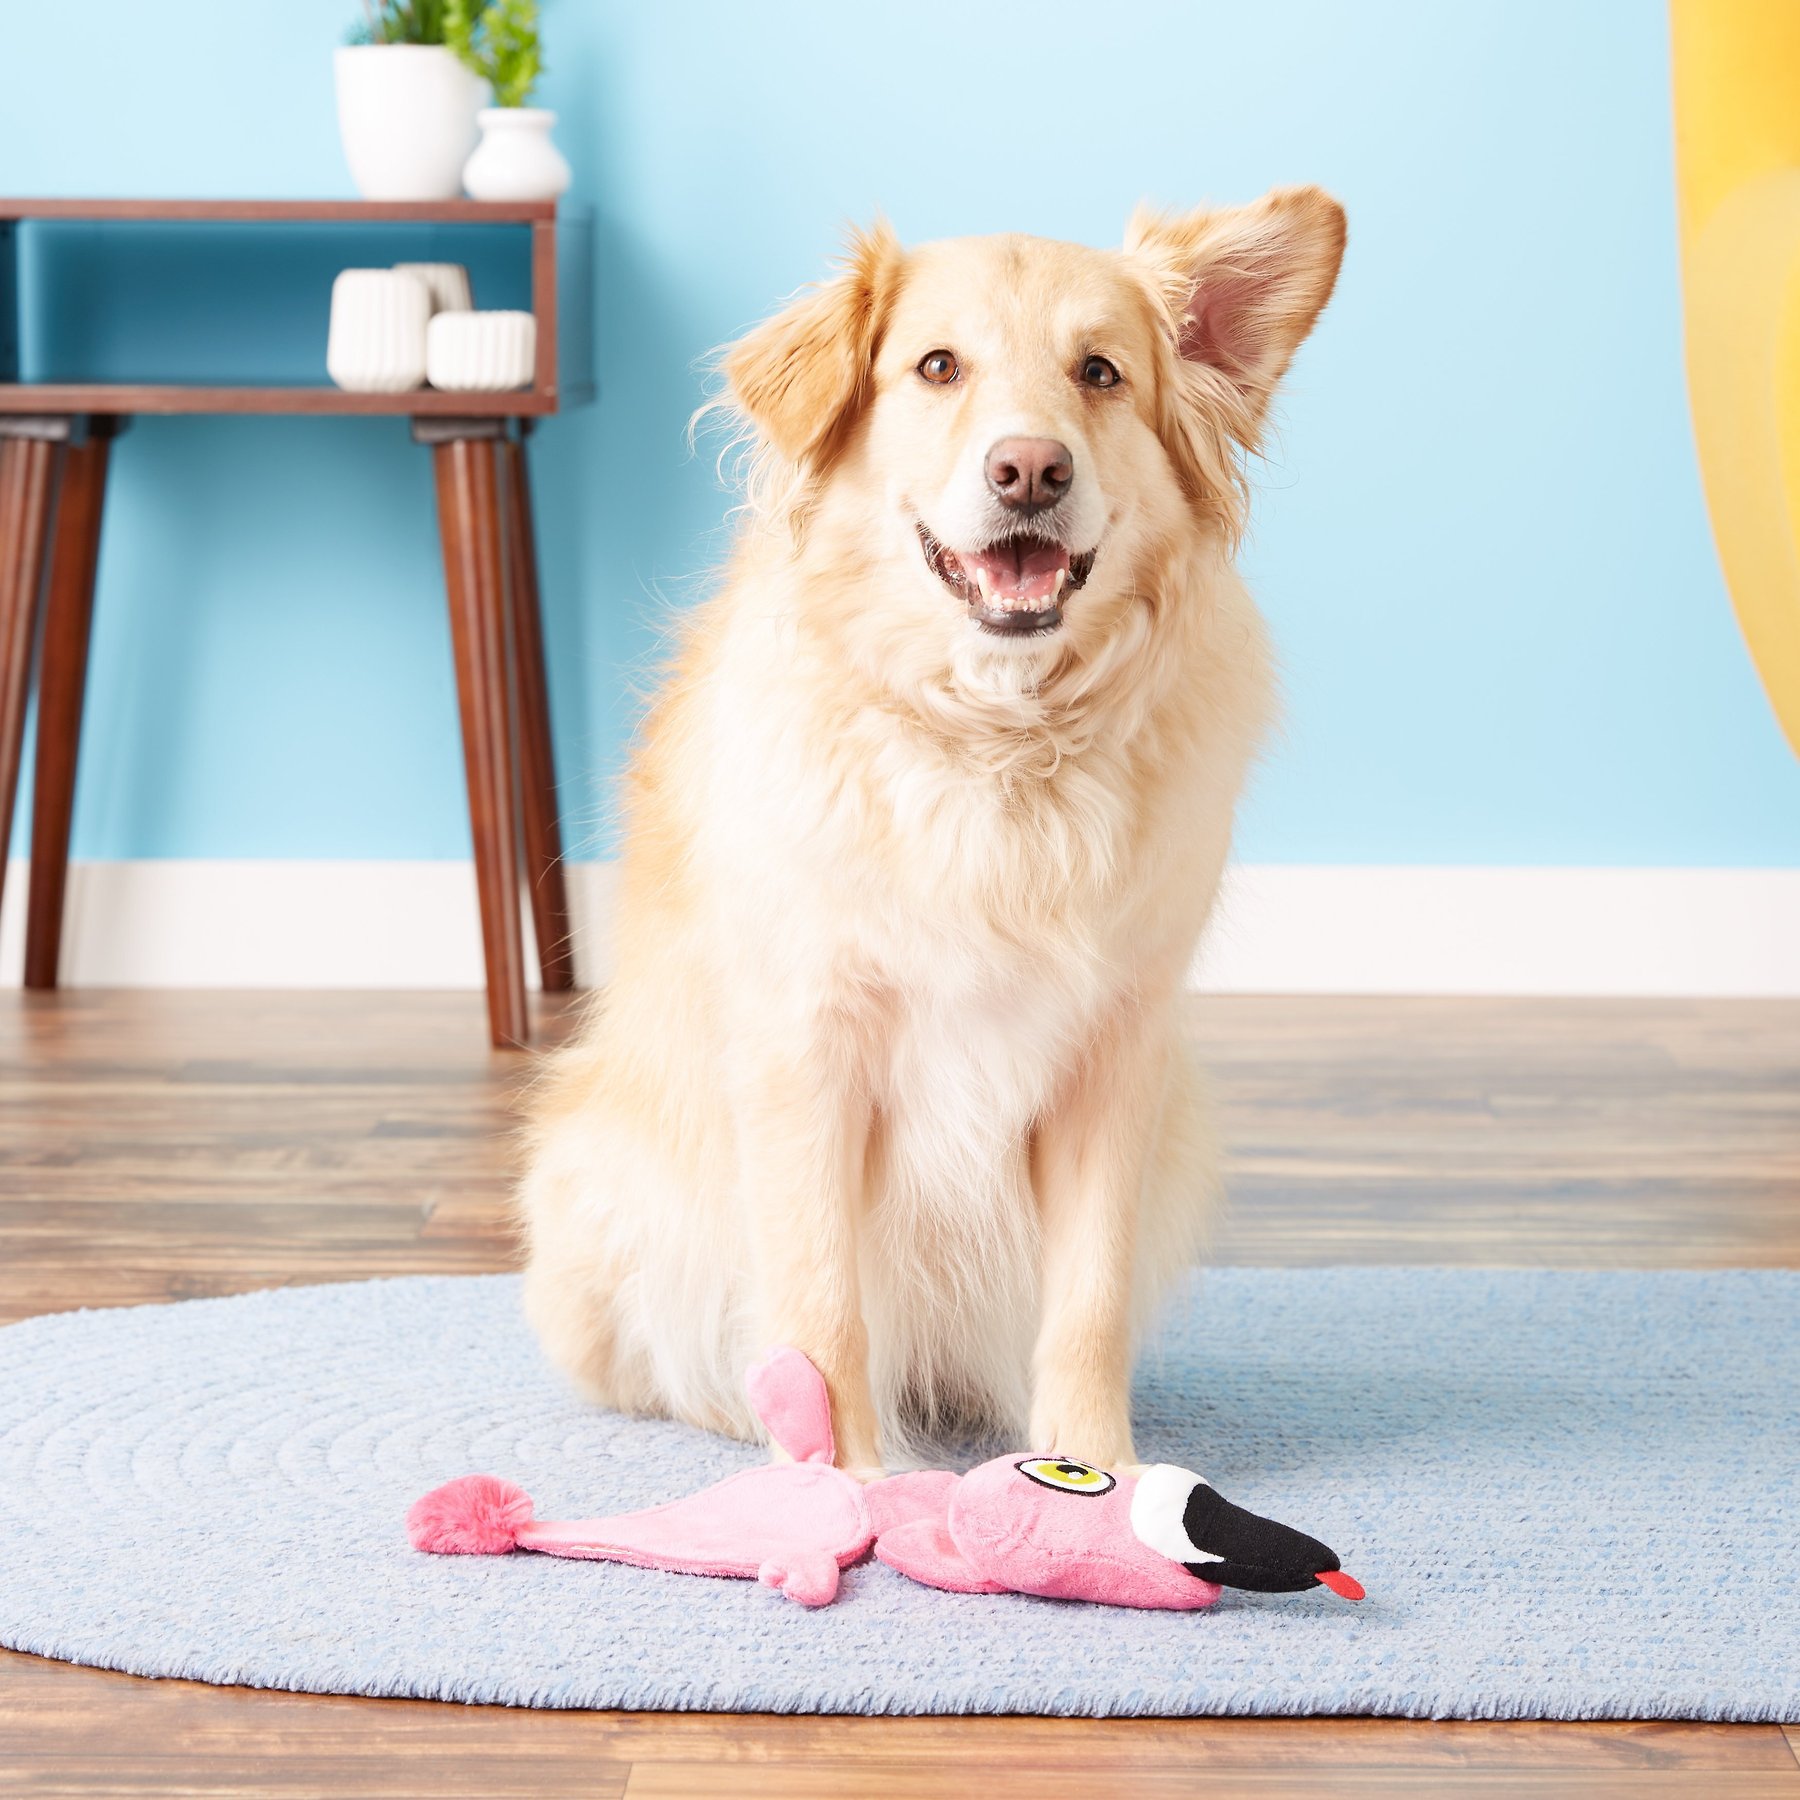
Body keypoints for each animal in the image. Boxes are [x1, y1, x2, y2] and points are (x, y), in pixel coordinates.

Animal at [514, 182, 1346, 1476]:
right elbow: (821, 1305)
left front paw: (1097, 1470)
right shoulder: (808, 1048)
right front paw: (843, 1482)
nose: (1031, 469)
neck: (996, 745)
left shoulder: (1114, 1061)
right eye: (937, 366)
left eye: (1101, 372)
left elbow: (1087, 1298)